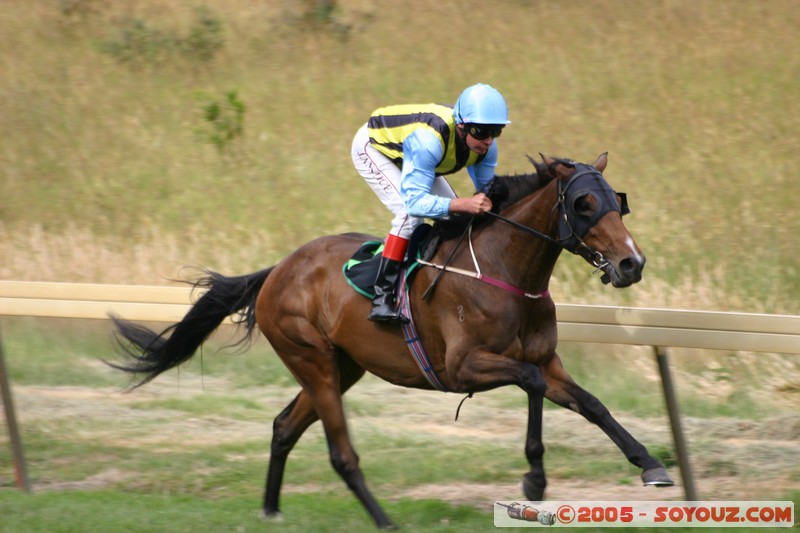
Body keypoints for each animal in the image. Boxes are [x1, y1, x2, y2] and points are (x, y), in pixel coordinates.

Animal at [111, 154, 676, 528]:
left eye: (617, 201)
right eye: (584, 203)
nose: (632, 263)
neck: (503, 271)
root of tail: (277, 271)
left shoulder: (547, 359)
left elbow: (592, 404)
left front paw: (651, 465)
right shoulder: (465, 366)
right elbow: (533, 384)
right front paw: (534, 478)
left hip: (342, 366)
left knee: (283, 427)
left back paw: (271, 510)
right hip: (312, 360)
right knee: (341, 454)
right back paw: (383, 520)